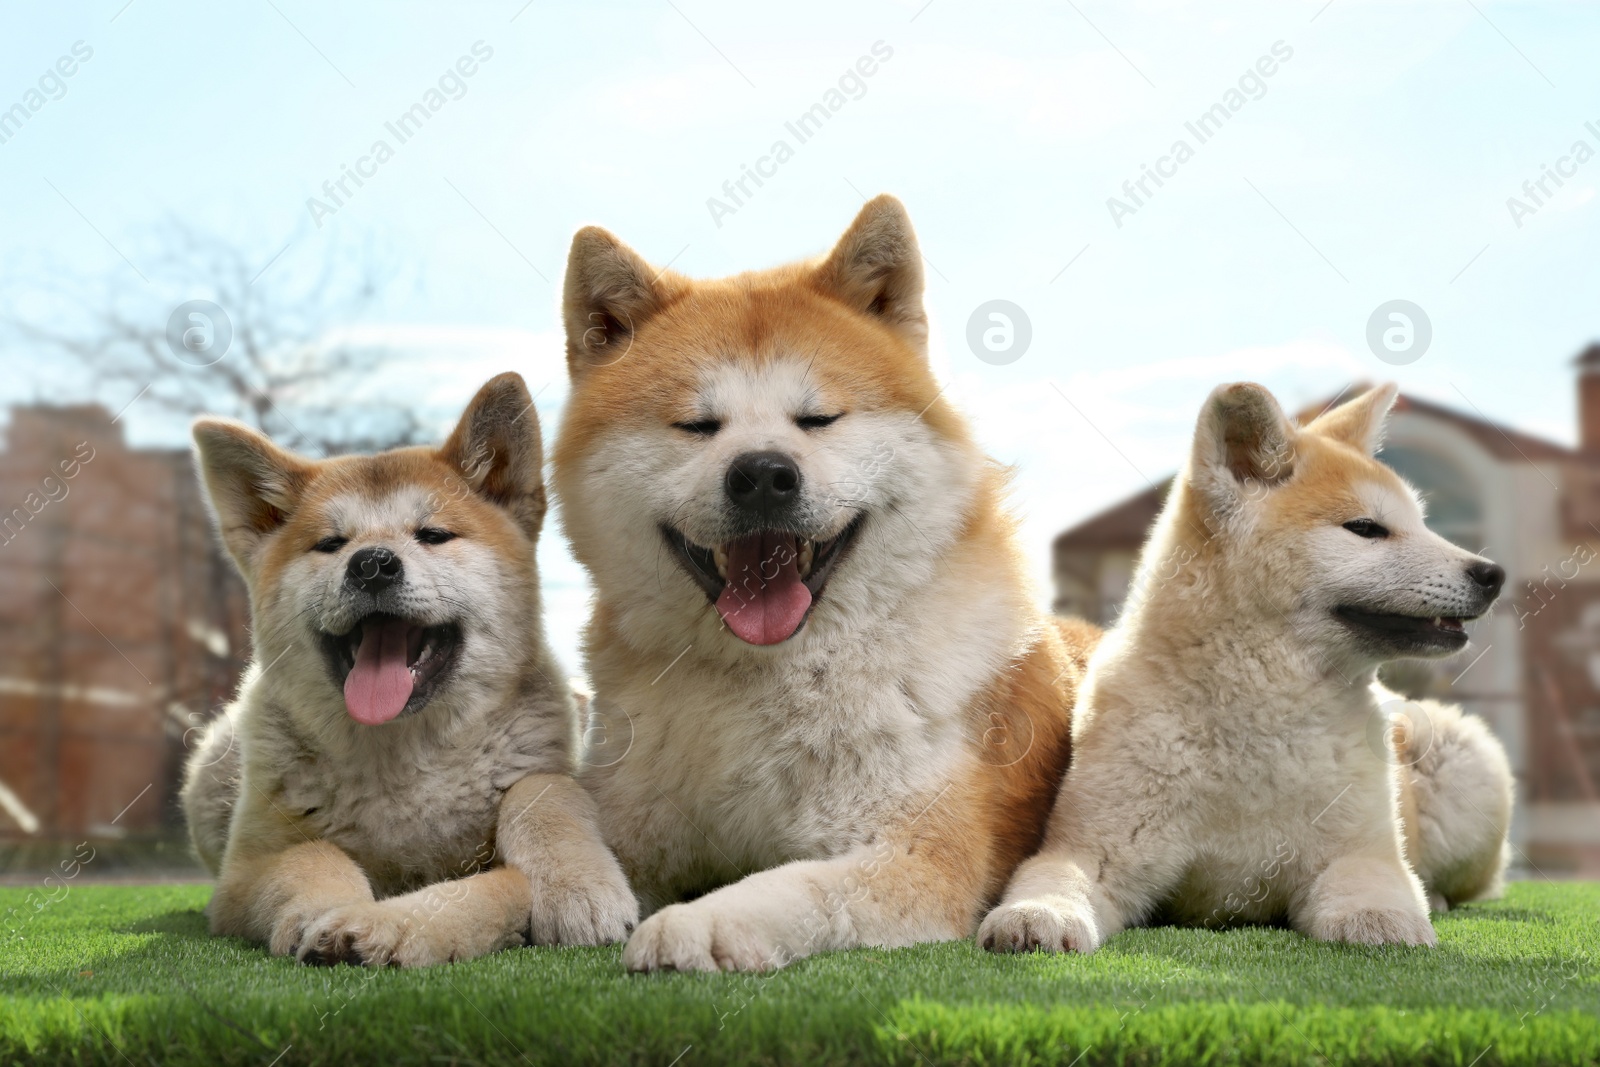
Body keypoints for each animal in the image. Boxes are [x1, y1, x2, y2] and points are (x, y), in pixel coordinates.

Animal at [181, 374, 636, 966]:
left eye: (433, 534)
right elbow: (311, 856)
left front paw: (578, 888)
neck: (406, 765)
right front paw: (333, 915)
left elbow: (540, 798)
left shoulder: (540, 774)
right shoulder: (242, 875)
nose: (372, 563)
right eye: (331, 544)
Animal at [550, 195, 1100, 972]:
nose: (761, 473)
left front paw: (696, 923)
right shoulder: (630, 825)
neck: (763, 679)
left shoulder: (916, 851)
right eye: (697, 425)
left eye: (819, 419)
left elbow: (788, 884)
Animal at [972, 382, 1510, 953]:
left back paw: (1437, 897)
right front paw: (1037, 915)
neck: (1261, 718)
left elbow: (1377, 893)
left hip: (1459, 757)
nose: (1492, 574)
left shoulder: (1358, 854)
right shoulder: (1089, 850)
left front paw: (1384, 919)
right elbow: (1057, 882)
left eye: (1423, 524)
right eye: (1366, 528)